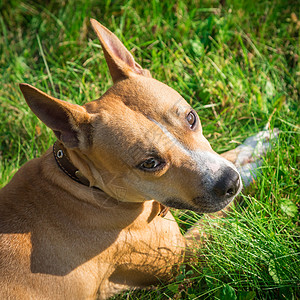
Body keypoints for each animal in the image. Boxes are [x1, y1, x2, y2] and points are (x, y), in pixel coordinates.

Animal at [0, 19, 240, 300]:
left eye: (191, 118)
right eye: (150, 163)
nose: (230, 182)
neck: (81, 182)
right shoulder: (182, 260)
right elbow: (214, 218)